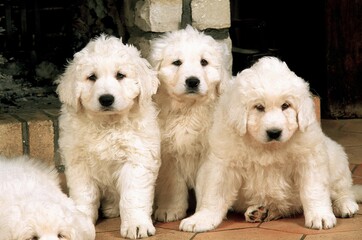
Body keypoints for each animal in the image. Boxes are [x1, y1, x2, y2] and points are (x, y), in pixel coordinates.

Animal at [56, 34, 160, 239]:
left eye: (120, 75)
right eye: (92, 77)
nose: (106, 99)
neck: (107, 124)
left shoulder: (137, 158)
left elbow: (133, 196)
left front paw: (136, 225)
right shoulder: (79, 161)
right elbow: (84, 195)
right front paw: (80, 222)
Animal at [148, 25, 230, 222]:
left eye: (204, 62)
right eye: (177, 62)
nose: (192, 81)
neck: (188, 110)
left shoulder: (209, 154)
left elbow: (207, 186)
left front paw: (200, 215)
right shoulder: (169, 154)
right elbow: (173, 184)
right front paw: (170, 209)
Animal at [181, 56, 362, 232]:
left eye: (286, 105)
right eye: (259, 107)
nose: (274, 132)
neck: (267, 148)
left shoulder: (309, 159)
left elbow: (314, 190)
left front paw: (321, 216)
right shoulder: (223, 164)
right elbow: (213, 194)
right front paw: (201, 219)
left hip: (336, 160)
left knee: (343, 190)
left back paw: (344, 205)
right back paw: (260, 212)